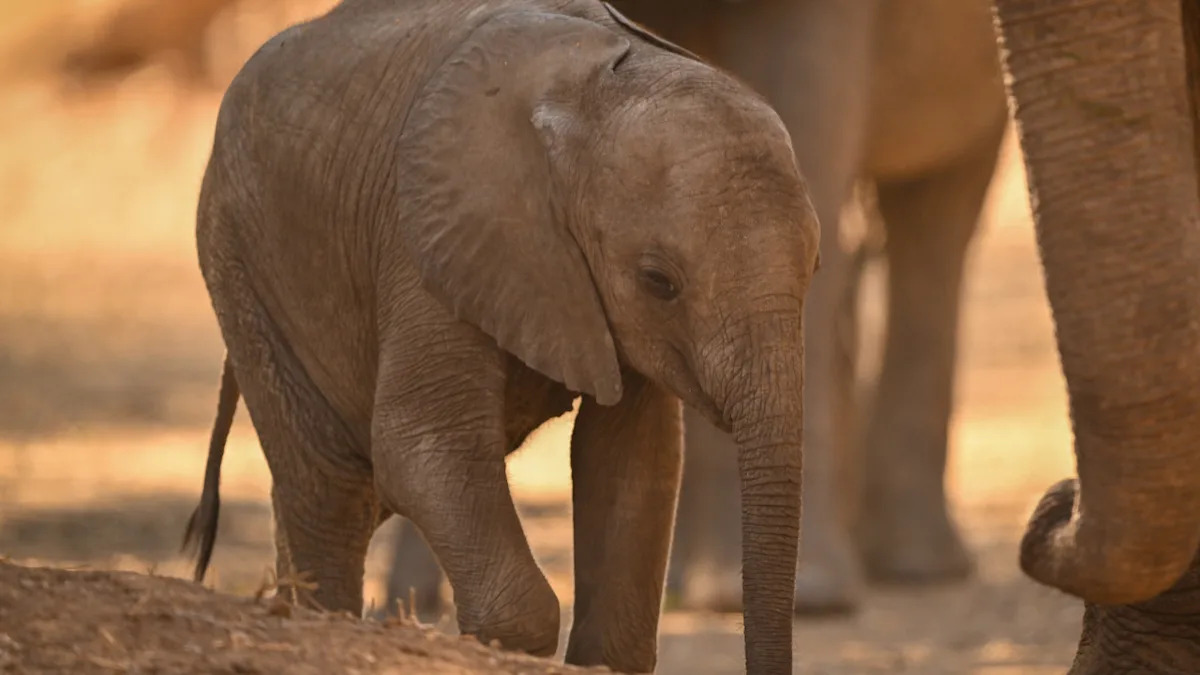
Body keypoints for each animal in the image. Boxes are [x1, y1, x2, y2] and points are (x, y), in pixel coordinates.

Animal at [180, 0, 819, 672]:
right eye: (658, 281)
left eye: (815, 266)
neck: (591, 99)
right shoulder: (428, 239)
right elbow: (419, 446)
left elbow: (633, 457)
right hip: (239, 258)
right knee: (333, 488)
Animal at [380, 0, 1011, 616]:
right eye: (658, 282)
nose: (405, 607)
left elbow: (800, 98)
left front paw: (798, 599)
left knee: (938, 209)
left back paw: (911, 568)